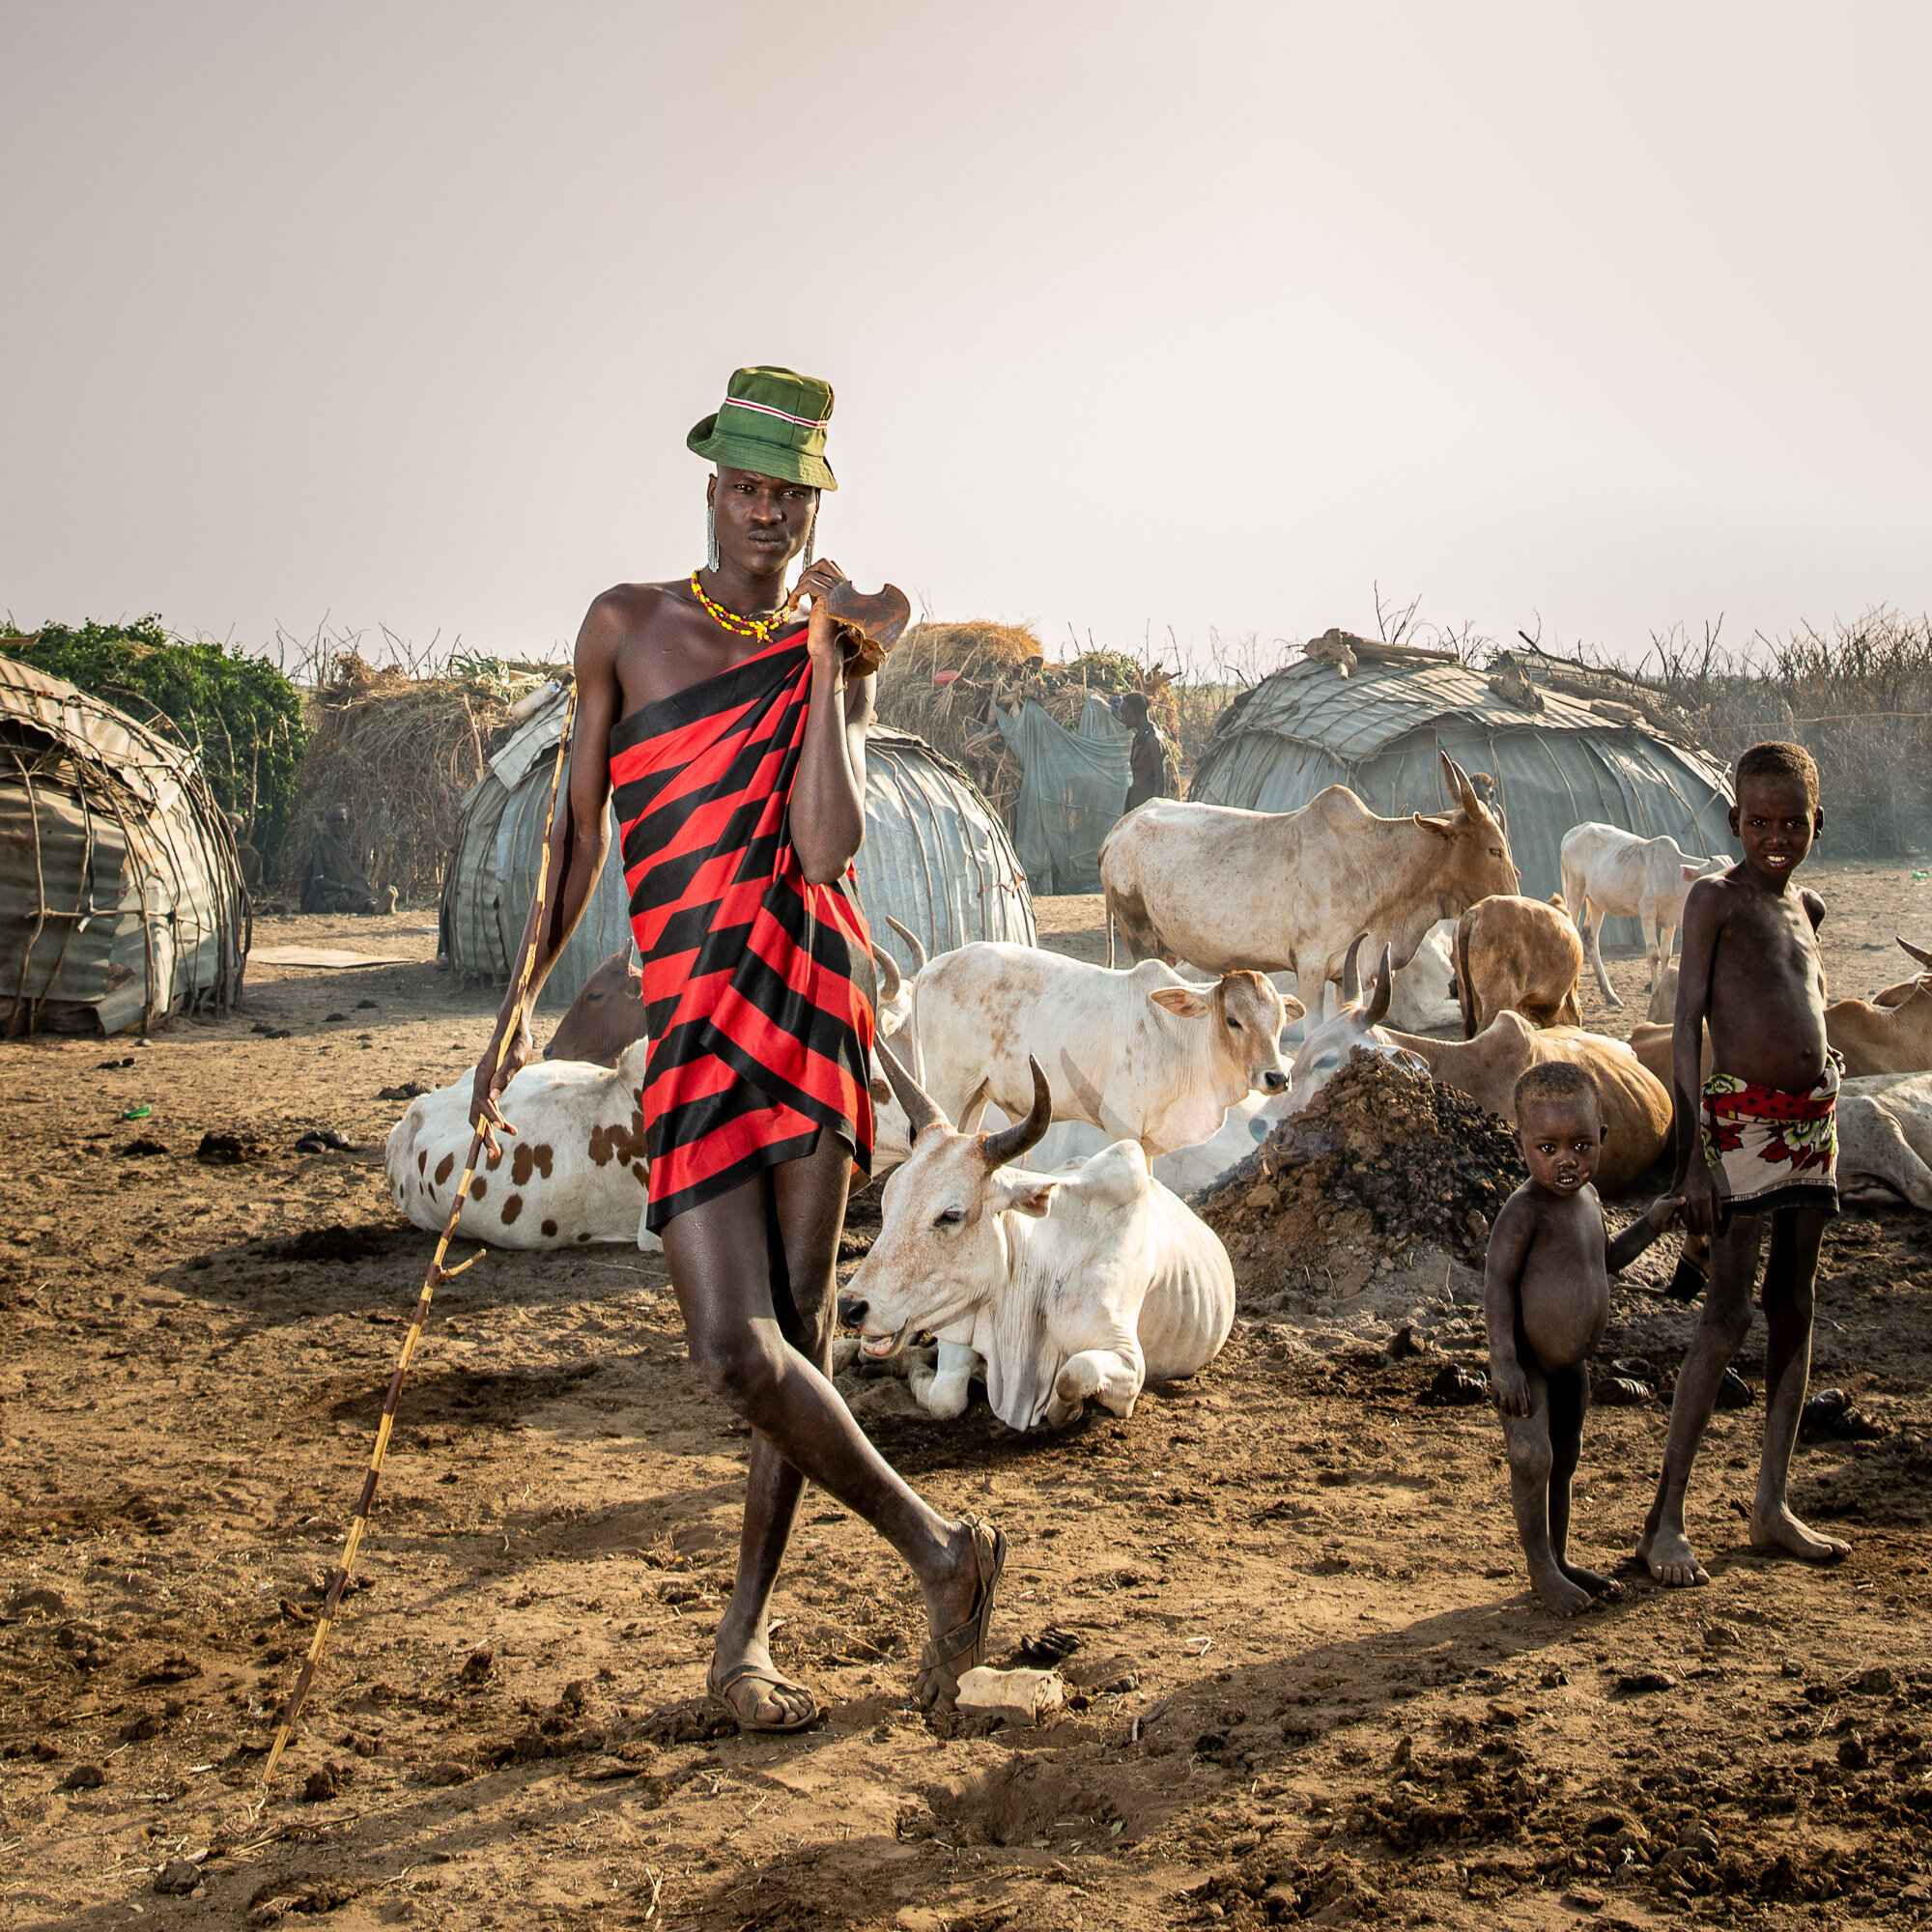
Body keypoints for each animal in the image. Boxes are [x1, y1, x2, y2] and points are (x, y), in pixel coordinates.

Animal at [835, 1043, 1229, 1437]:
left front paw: (1064, 1409)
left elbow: (1072, 1376)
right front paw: (921, 1372)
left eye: (951, 1215)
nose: (850, 1306)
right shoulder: (962, 1327)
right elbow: (944, 1396)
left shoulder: (1127, 1358)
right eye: (887, 1201)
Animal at [1097, 750, 1515, 1020]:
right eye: (1494, 849)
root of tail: (1117, 831)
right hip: (1138, 935)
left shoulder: (1346, 970)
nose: (1514, 904)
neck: (1371, 864)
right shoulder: (1311, 967)